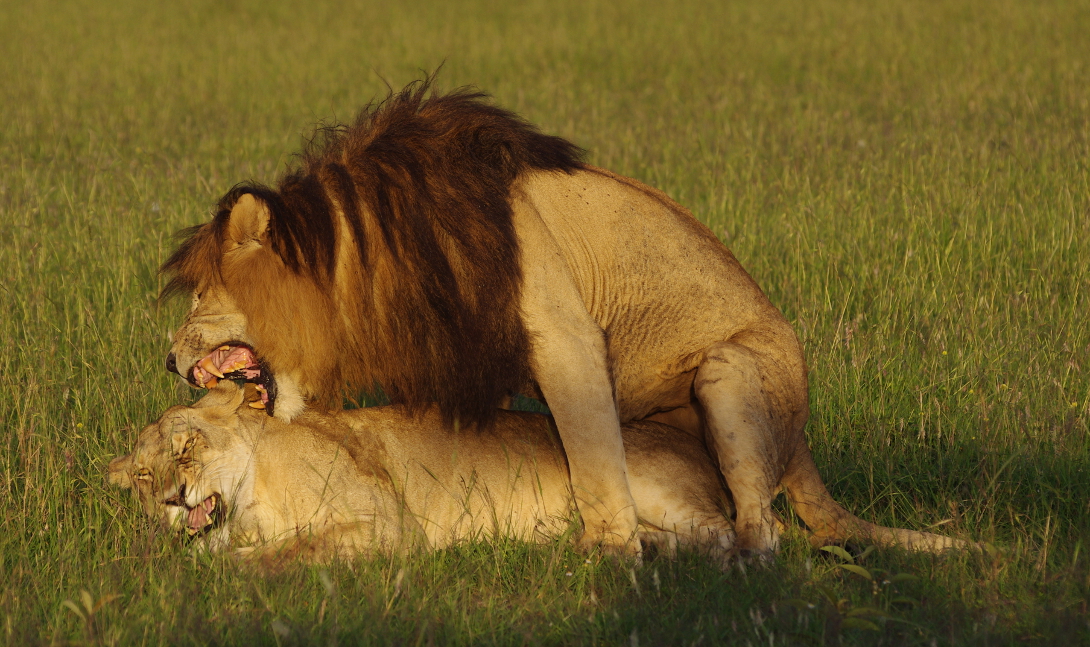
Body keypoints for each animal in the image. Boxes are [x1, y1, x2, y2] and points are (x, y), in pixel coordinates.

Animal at [108, 381, 732, 562]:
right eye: (142, 477)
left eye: (186, 448)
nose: (172, 497)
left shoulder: (386, 523)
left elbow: (297, 547)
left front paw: (235, 568)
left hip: (648, 486)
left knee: (732, 534)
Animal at [159, 79, 963, 553]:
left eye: (198, 295)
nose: (166, 359)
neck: (372, 258)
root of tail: (802, 442)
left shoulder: (566, 338)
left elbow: (596, 461)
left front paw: (605, 556)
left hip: (730, 371)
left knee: (761, 528)